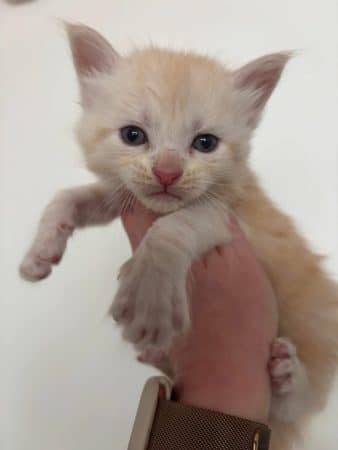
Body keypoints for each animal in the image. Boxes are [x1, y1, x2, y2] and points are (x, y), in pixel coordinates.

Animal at [19, 23, 338, 450]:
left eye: (205, 143)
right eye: (133, 135)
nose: (167, 173)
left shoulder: (223, 213)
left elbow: (174, 228)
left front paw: (149, 299)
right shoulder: (126, 194)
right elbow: (71, 196)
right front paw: (40, 252)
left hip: (315, 331)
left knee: (298, 404)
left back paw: (288, 376)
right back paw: (156, 354)